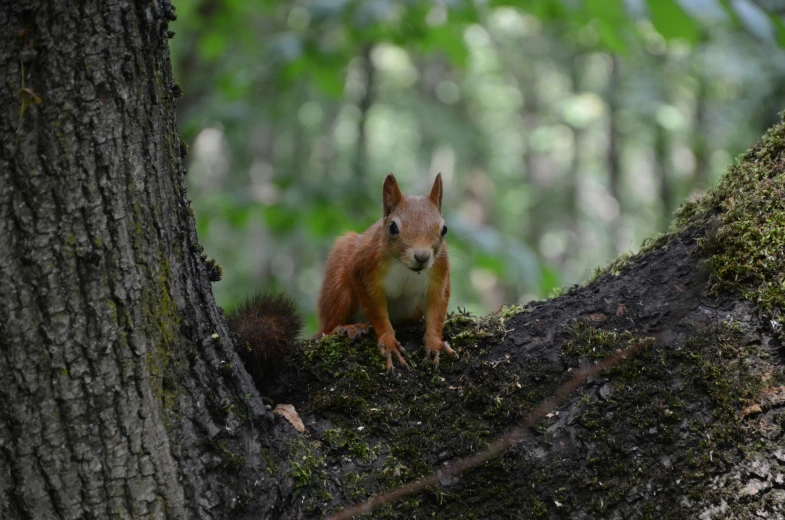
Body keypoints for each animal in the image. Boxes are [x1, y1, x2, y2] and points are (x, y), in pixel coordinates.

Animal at [316, 174, 456, 370]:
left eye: (444, 229)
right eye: (393, 227)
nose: (422, 256)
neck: (404, 265)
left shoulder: (440, 272)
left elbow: (437, 310)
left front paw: (435, 343)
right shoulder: (365, 267)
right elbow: (376, 311)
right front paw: (388, 342)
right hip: (338, 285)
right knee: (328, 327)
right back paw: (346, 328)